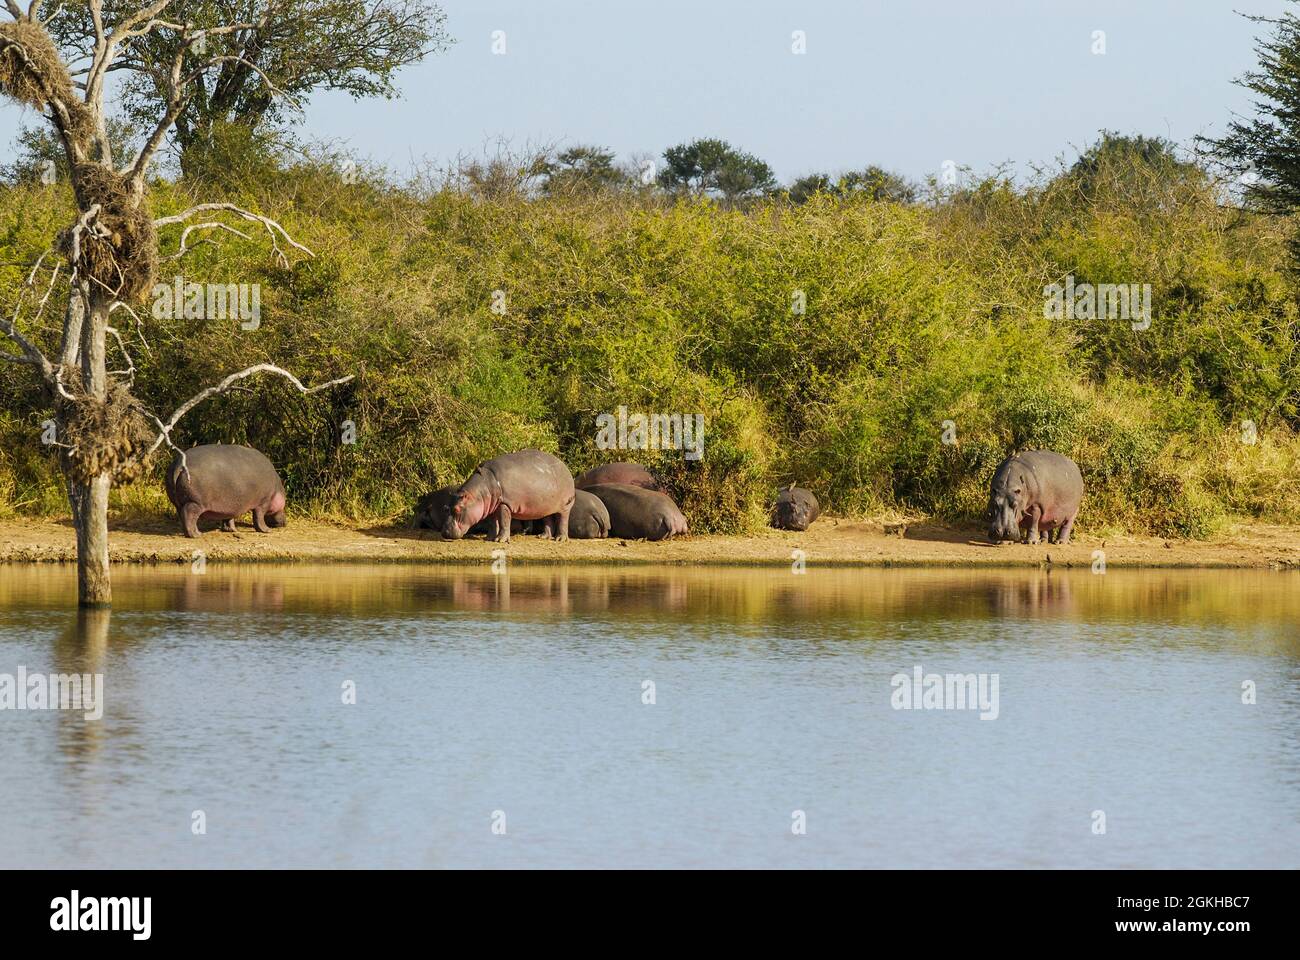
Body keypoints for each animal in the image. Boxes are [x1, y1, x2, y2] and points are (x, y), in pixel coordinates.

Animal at [441, 447, 574, 538]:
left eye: (457, 509)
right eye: (445, 508)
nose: (444, 533)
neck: (481, 490)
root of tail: (565, 466)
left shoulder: (504, 503)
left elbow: (504, 521)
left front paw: (500, 540)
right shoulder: (491, 506)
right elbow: (492, 523)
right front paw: (489, 538)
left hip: (565, 506)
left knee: (563, 520)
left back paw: (560, 539)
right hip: (546, 506)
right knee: (547, 519)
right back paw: (543, 536)